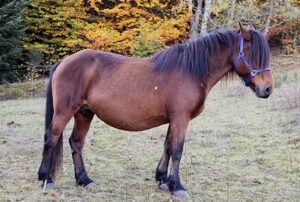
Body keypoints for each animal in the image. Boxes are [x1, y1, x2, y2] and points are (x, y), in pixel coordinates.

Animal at [37, 22, 272, 198]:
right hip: (65, 111)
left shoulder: (173, 119)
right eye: (253, 55)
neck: (190, 71)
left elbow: (167, 146)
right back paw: (46, 178)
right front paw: (177, 186)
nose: (268, 89)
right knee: (51, 138)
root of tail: (65, 61)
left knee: (76, 142)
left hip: (84, 113)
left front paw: (163, 180)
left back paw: (84, 180)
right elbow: (177, 150)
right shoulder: (180, 118)